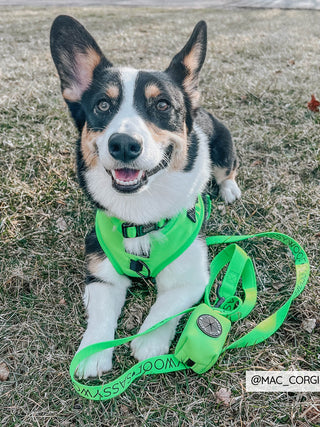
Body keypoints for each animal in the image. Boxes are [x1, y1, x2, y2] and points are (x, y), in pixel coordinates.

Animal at [49, 15, 240, 380]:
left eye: (162, 105)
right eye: (103, 105)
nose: (123, 144)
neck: (140, 216)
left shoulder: (192, 279)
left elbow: (164, 309)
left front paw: (149, 345)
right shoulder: (101, 274)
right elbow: (101, 316)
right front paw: (92, 356)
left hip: (224, 149)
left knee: (227, 171)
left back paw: (230, 190)